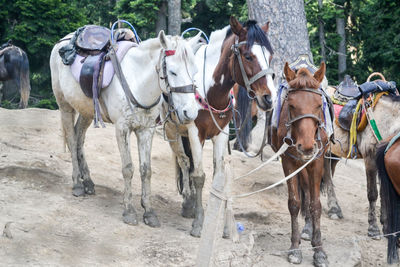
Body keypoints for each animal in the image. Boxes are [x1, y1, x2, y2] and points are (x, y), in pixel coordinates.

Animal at [50, 31, 200, 228]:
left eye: (195, 71)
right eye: (173, 72)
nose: (190, 112)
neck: (137, 81)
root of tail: (62, 41)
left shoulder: (146, 130)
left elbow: (146, 170)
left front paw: (149, 212)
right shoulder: (122, 129)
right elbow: (128, 168)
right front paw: (129, 211)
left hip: (87, 111)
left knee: (79, 139)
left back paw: (88, 182)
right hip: (65, 106)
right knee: (72, 140)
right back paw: (77, 184)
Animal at [270, 62, 330, 266]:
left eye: (319, 105)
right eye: (292, 105)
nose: (307, 146)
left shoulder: (316, 161)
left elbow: (316, 205)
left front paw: (319, 250)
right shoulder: (288, 161)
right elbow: (295, 203)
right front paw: (295, 248)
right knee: (304, 189)